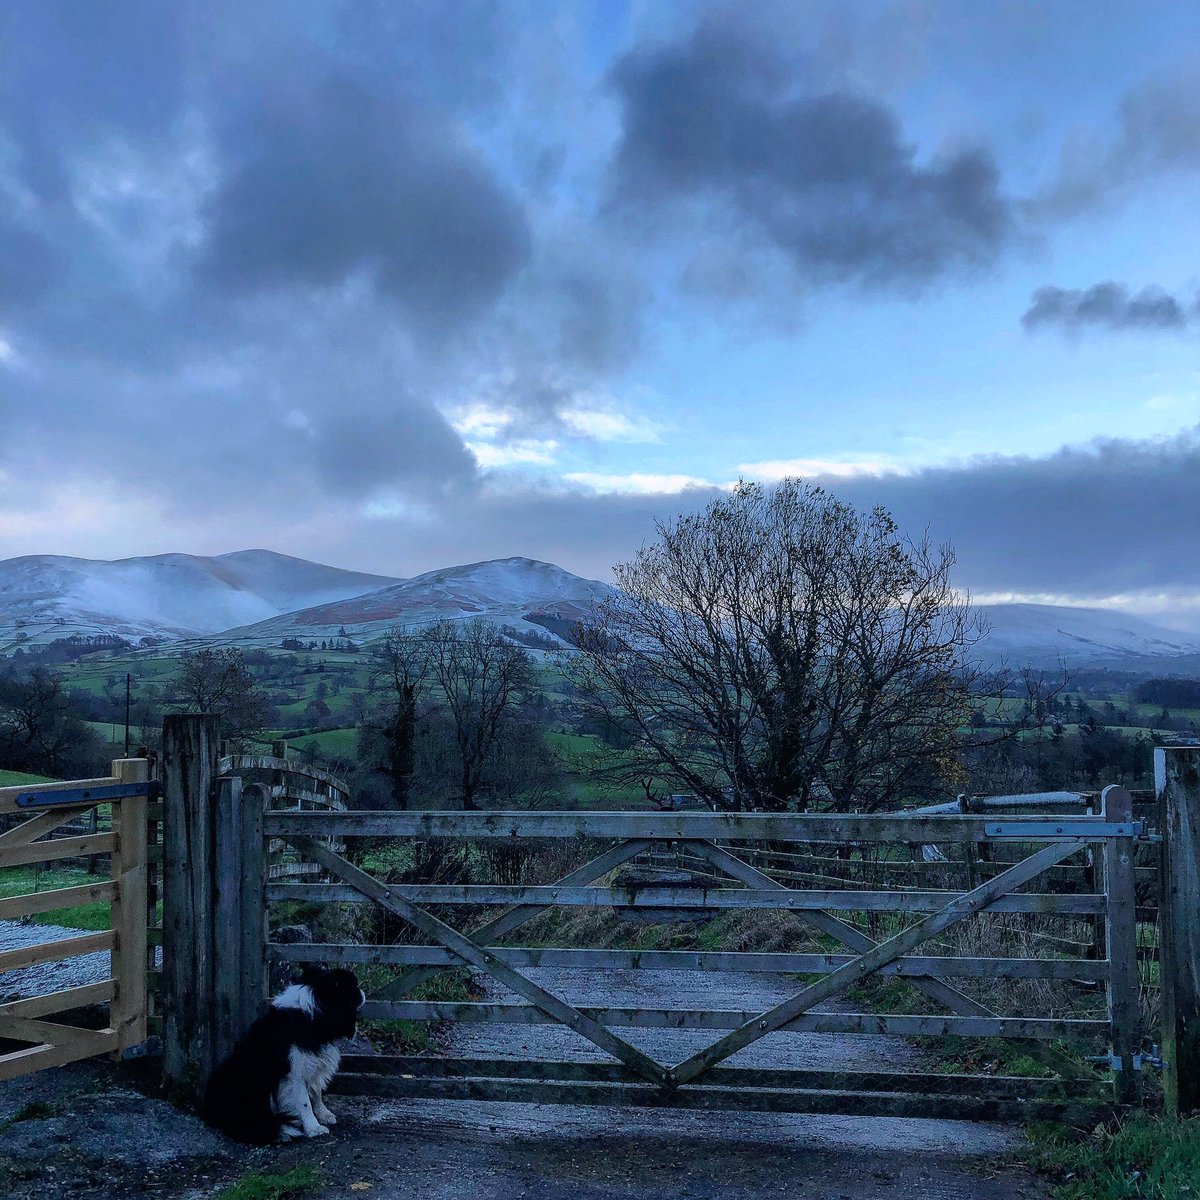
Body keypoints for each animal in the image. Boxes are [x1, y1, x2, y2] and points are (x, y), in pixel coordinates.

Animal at [201, 964, 364, 1142]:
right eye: (353, 988)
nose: (362, 991)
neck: (312, 1015)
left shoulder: (313, 1062)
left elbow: (316, 1092)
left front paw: (323, 1114)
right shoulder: (295, 1071)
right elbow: (304, 1101)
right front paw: (313, 1128)